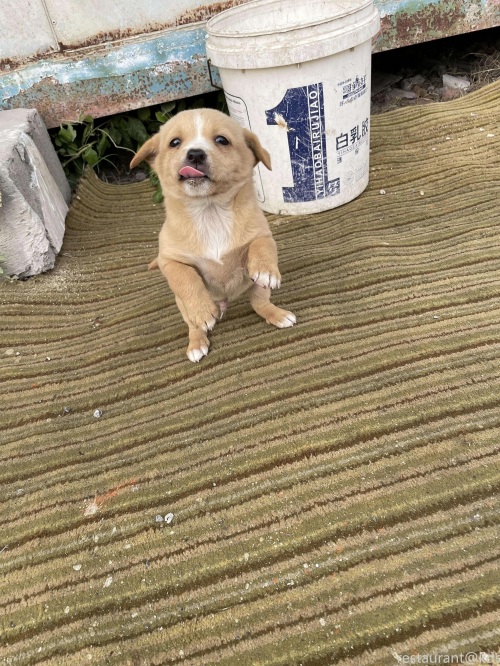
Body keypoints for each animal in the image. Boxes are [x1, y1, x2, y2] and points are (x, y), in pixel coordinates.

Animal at [130, 108, 296, 362]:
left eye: (221, 140)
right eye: (174, 143)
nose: (195, 154)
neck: (210, 211)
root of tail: (226, 301)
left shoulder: (263, 234)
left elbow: (261, 246)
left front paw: (266, 271)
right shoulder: (170, 261)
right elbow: (186, 278)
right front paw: (202, 311)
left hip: (257, 290)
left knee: (259, 304)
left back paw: (278, 314)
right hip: (181, 306)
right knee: (193, 325)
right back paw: (196, 342)